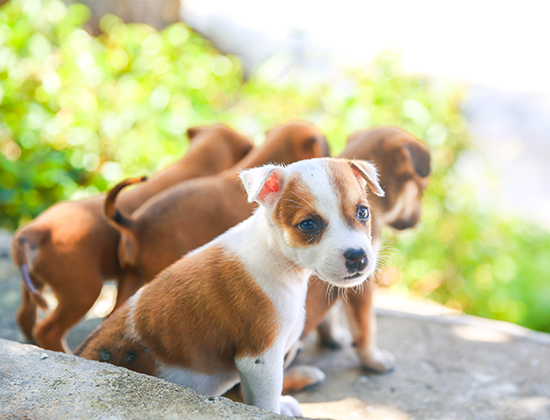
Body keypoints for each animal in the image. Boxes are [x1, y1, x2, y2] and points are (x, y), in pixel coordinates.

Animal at [11, 125, 254, 354]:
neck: (196, 162)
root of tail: (38, 229)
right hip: (82, 291)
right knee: (48, 330)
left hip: (37, 284)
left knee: (25, 317)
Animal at [76, 158, 388, 416]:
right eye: (308, 224)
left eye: (363, 212)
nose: (358, 256)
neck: (276, 256)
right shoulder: (260, 359)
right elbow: (266, 401)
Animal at [282, 125, 434, 394]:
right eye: (422, 188)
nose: (417, 220)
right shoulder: (360, 280)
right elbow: (366, 327)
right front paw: (375, 361)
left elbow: (330, 315)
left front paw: (332, 338)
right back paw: (305, 376)